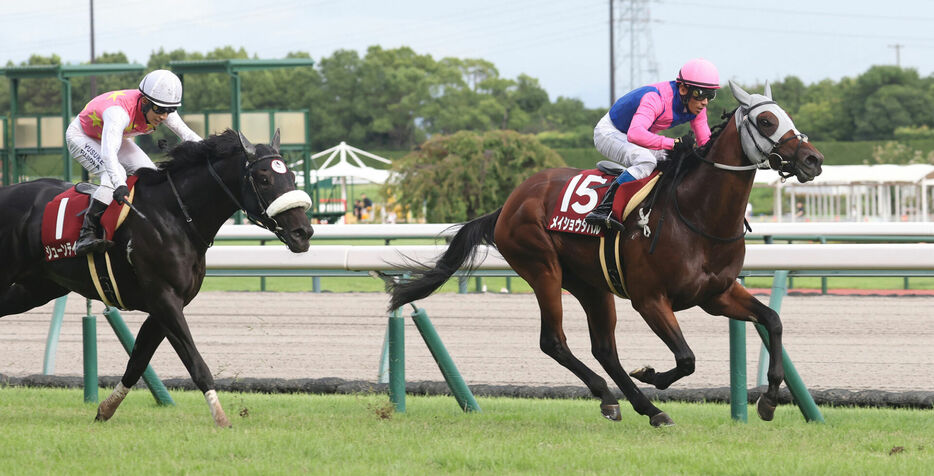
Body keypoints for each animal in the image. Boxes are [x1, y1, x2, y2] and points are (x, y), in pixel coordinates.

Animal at [0, 128, 314, 426]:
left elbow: (138, 361)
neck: (175, 216)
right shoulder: (164, 298)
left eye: (292, 176)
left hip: (36, 289)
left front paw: (104, 410)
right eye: (264, 179)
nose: (304, 233)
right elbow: (196, 364)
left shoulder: (166, 305)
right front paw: (222, 419)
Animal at [392, 82, 824, 428]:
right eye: (766, 121)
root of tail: (509, 203)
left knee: (604, 350)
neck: (697, 214)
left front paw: (769, 400)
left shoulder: (716, 295)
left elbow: (772, 321)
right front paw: (651, 373)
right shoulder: (650, 299)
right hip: (542, 269)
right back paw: (616, 399)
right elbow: (686, 358)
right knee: (554, 341)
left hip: (592, 285)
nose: (812, 160)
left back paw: (642, 408)